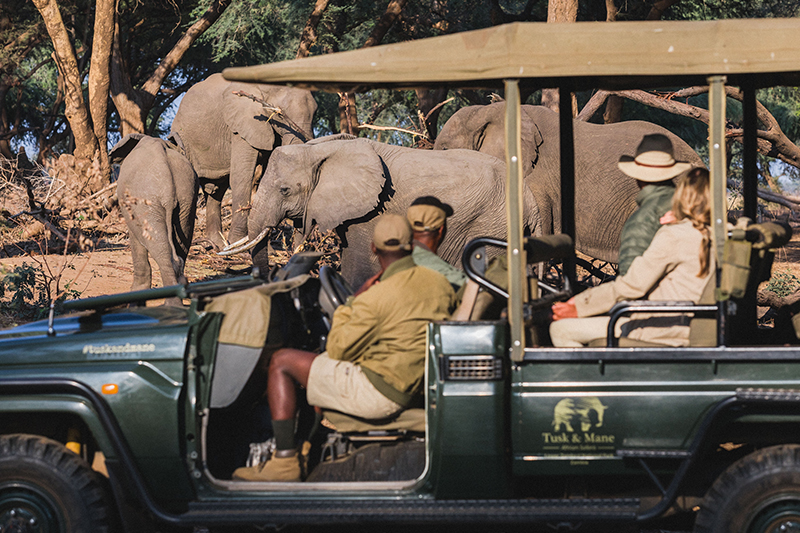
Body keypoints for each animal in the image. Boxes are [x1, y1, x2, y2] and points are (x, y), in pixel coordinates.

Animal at [170, 73, 316, 250]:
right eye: (279, 113)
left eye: (316, 112)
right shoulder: (243, 125)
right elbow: (242, 176)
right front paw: (238, 244)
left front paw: (264, 249)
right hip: (182, 138)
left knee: (216, 190)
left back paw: (218, 244)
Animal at [225, 137, 541, 288]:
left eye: (284, 190)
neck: (322, 150)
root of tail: (531, 200)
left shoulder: (374, 209)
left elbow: (359, 263)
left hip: (492, 224)